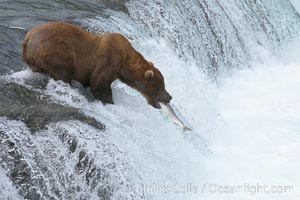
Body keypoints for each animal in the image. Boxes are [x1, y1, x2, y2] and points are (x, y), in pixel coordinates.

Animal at [21, 21, 171, 108]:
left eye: (164, 84)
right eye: (160, 86)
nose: (169, 97)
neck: (124, 63)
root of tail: (28, 37)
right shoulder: (108, 60)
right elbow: (99, 84)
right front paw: (109, 101)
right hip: (57, 52)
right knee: (63, 73)